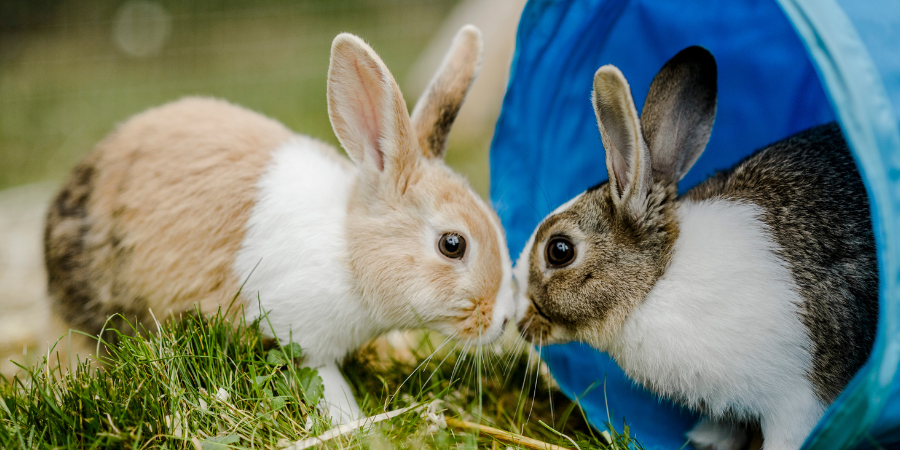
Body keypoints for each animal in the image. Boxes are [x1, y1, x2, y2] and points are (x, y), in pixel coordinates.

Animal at [44, 25, 516, 425]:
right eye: (452, 244)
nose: (505, 320)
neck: (349, 251)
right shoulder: (300, 338)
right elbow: (326, 381)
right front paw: (354, 423)